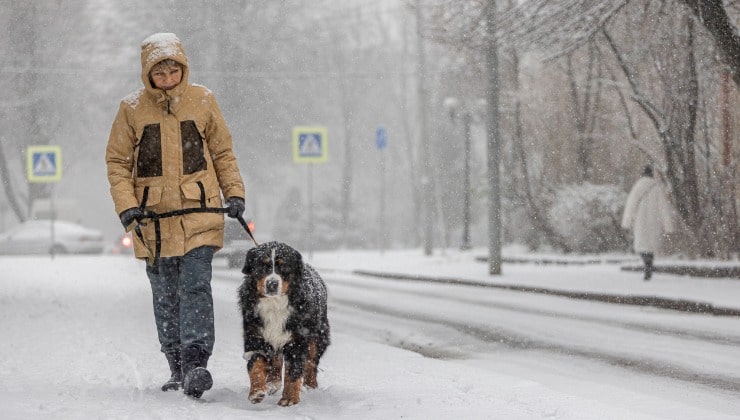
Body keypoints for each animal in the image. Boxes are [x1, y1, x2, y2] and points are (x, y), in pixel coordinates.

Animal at [238, 243, 330, 406]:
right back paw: (272, 383)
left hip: (318, 335)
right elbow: (256, 364)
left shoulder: (298, 340)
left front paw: (289, 398)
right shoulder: (255, 335)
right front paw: (256, 391)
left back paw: (310, 386)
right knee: (276, 359)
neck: (275, 305)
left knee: (311, 363)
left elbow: (293, 371)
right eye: (262, 266)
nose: (272, 284)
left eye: (284, 267)